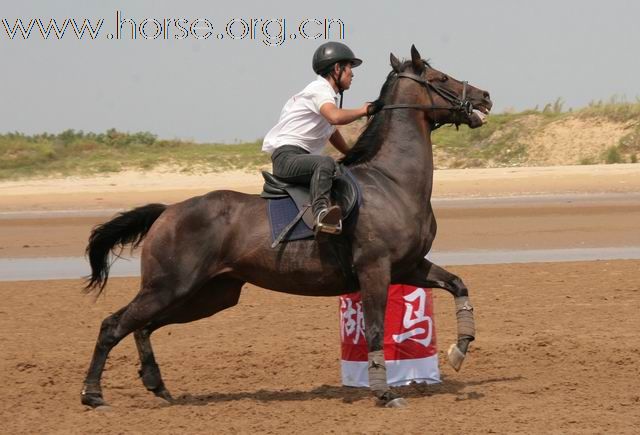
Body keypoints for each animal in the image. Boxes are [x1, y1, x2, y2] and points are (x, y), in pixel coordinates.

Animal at [82, 46, 492, 410]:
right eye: (441, 78)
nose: (485, 97)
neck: (392, 181)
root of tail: (167, 211)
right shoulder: (375, 270)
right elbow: (375, 329)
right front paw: (385, 393)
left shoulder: (409, 266)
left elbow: (458, 285)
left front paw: (459, 350)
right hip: (169, 286)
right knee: (113, 325)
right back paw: (93, 395)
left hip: (210, 294)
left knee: (143, 326)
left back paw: (156, 385)